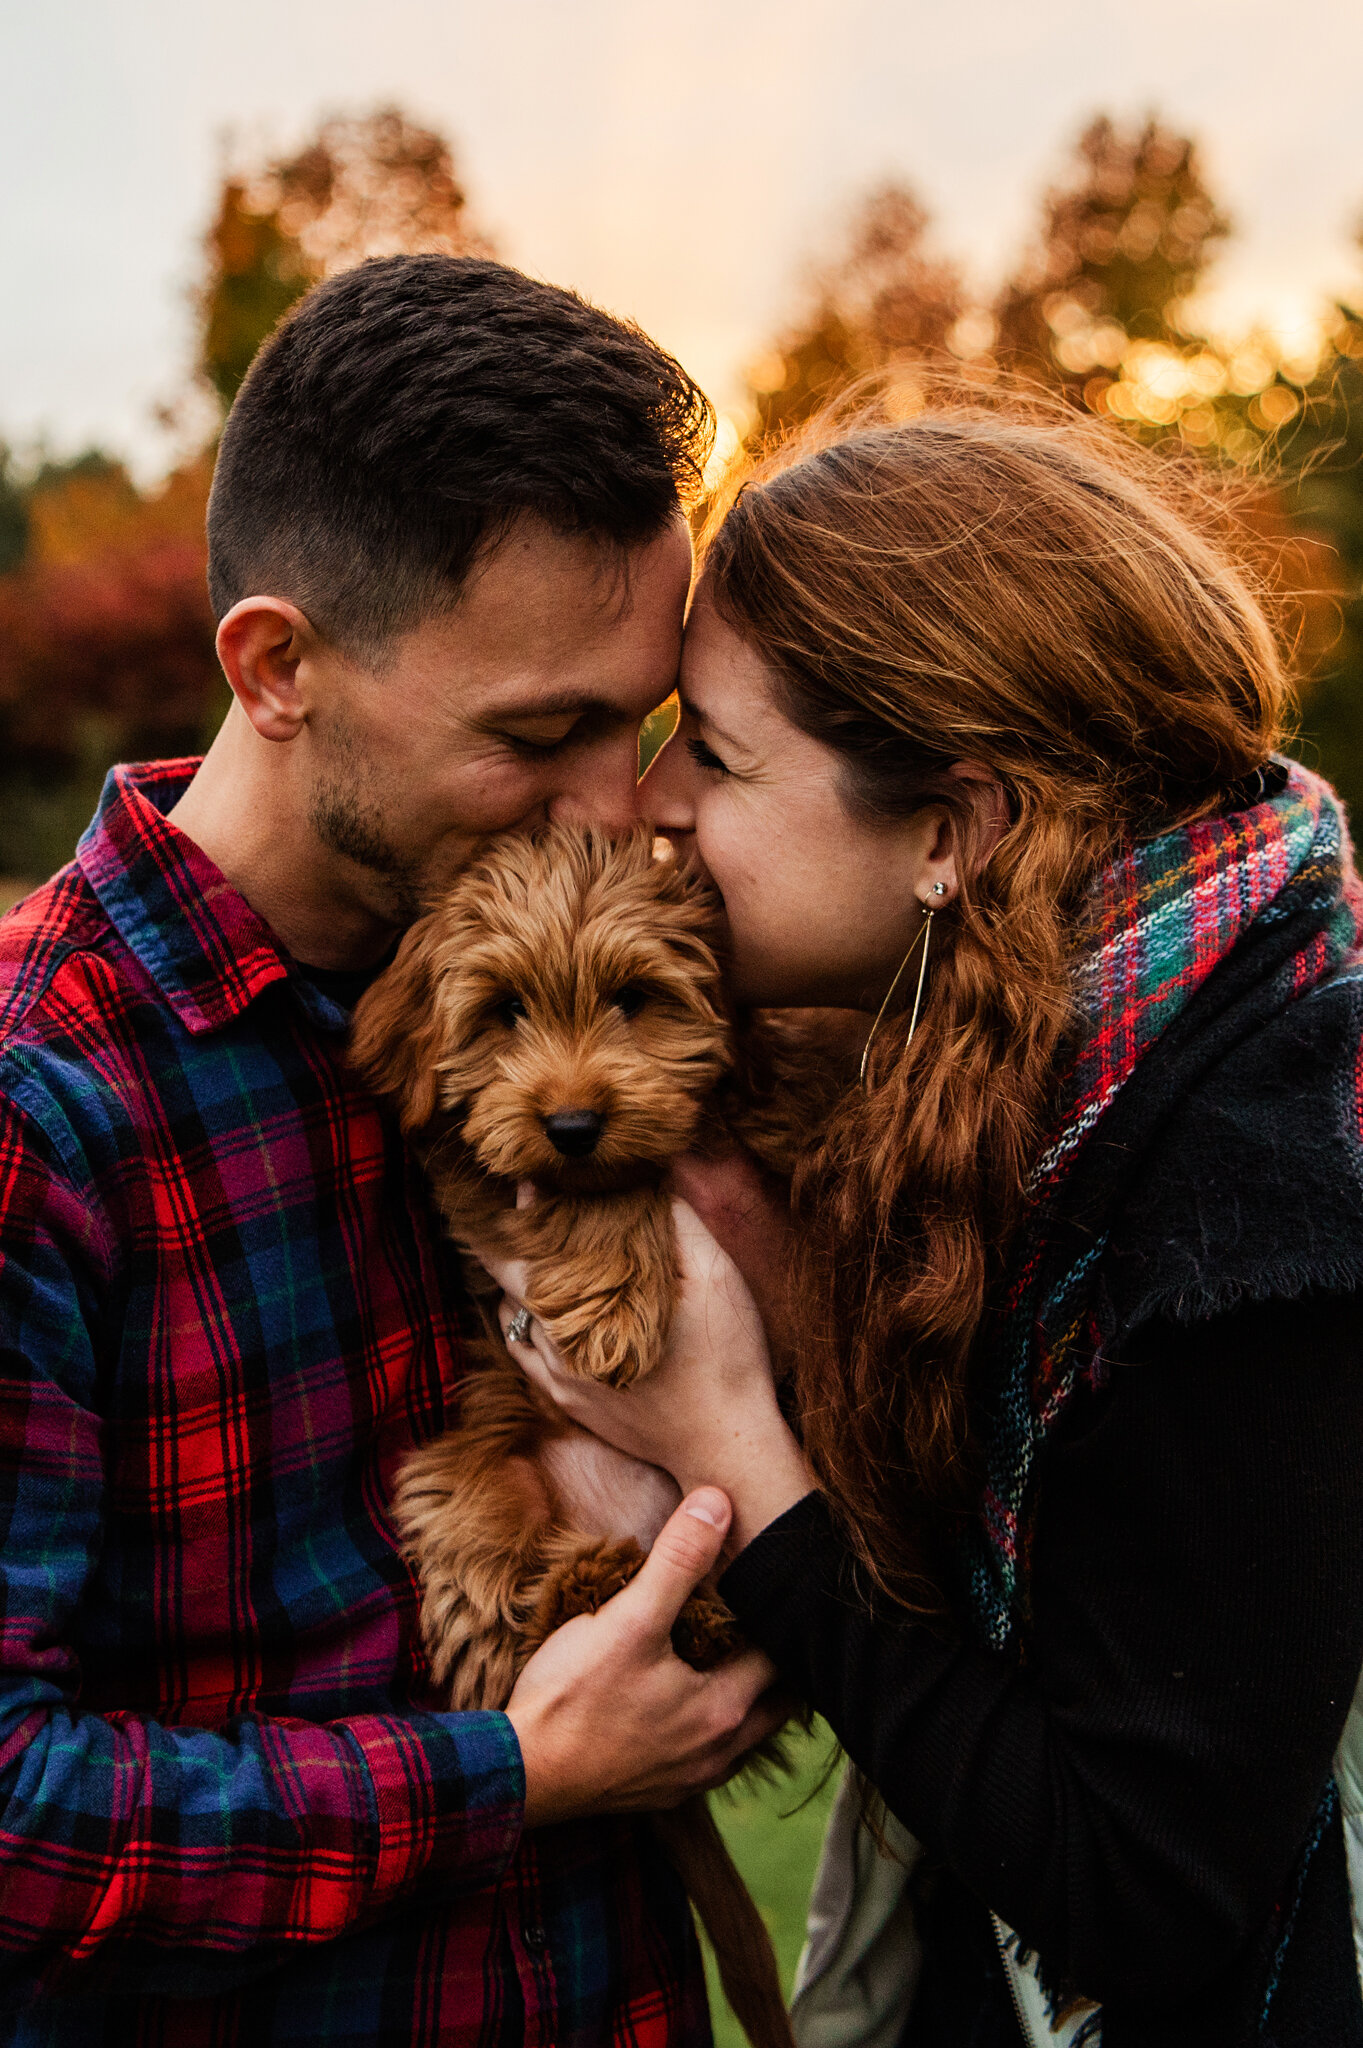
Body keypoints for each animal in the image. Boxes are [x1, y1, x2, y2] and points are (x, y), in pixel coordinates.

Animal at [349, 823, 818, 2048]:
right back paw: (612, 1581)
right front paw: (611, 1291)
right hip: (464, 1480)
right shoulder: (473, 1161)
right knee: (507, 1619)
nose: (569, 1124)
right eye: (501, 1011)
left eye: (636, 999)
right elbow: (571, 1193)